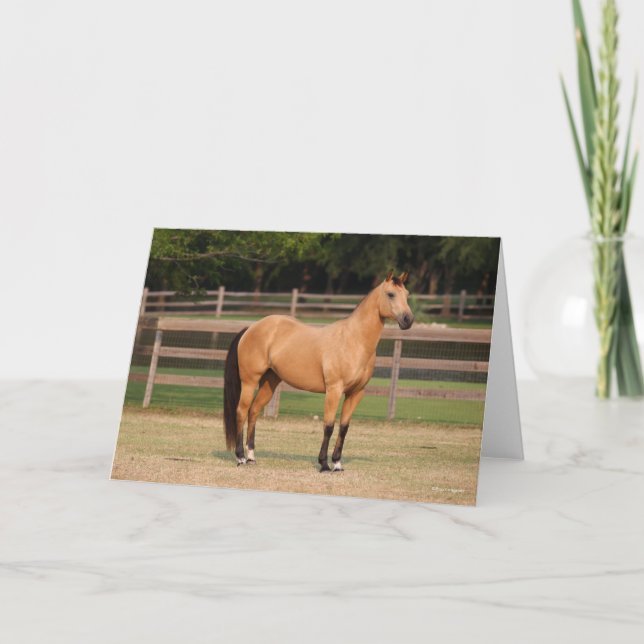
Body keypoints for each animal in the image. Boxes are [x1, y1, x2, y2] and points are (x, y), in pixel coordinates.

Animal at [223, 271, 414, 472]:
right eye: (391, 294)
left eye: (407, 294)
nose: (408, 320)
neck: (354, 340)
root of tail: (251, 328)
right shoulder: (334, 391)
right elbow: (328, 426)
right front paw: (324, 464)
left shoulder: (355, 393)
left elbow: (344, 427)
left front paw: (337, 463)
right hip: (249, 381)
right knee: (241, 411)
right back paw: (240, 457)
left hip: (269, 383)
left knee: (254, 411)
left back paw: (251, 456)